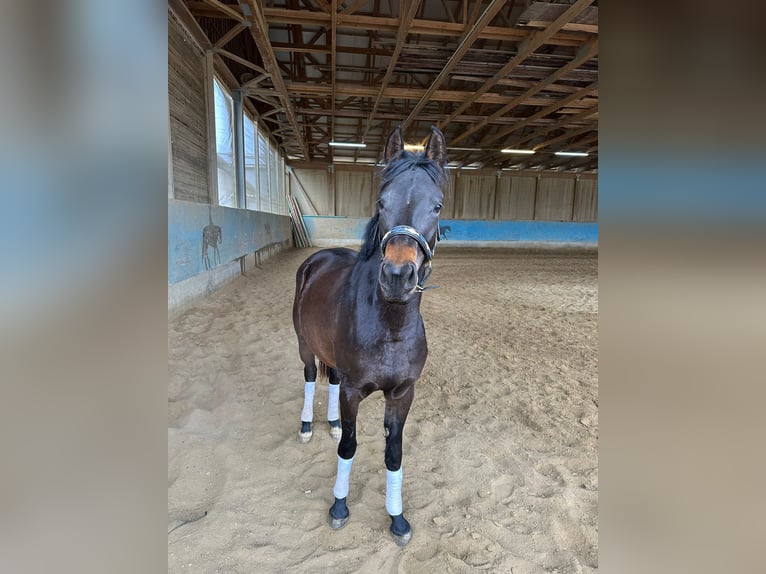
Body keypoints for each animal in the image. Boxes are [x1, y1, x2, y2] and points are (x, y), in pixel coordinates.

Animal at [291, 125, 448, 546]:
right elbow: (349, 446)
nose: (397, 276)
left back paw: (328, 422)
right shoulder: (353, 391)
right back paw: (308, 427)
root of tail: (317, 258)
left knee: (329, 379)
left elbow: (394, 454)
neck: (389, 326)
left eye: (437, 206)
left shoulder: (402, 394)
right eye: (381, 201)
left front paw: (398, 519)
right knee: (311, 377)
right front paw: (339, 506)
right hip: (304, 346)